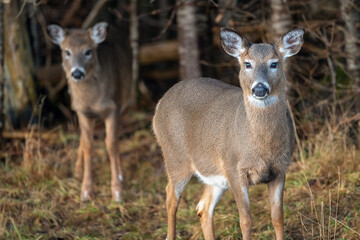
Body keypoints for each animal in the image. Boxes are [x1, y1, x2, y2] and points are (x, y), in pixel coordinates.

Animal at [47, 23, 131, 202]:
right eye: (67, 51)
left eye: (88, 51)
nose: (77, 73)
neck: (92, 100)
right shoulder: (82, 111)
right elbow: (88, 145)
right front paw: (86, 190)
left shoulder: (113, 108)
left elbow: (111, 143)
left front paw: (117, 190)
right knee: (84, 139)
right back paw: (78, 171)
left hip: (124, 99)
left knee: (116, 137)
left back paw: (121, 174)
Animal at [152, 27, 304, 239]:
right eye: (247, 64)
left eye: (274, 63)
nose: (259, 88)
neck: (260, 147)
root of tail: (159, 103)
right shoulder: (234, 168)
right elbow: (246, 220)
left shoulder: (280, 169)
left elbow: (278, 217)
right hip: (175, 156)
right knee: (170, 198)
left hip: (215, 175)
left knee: (202, 207)